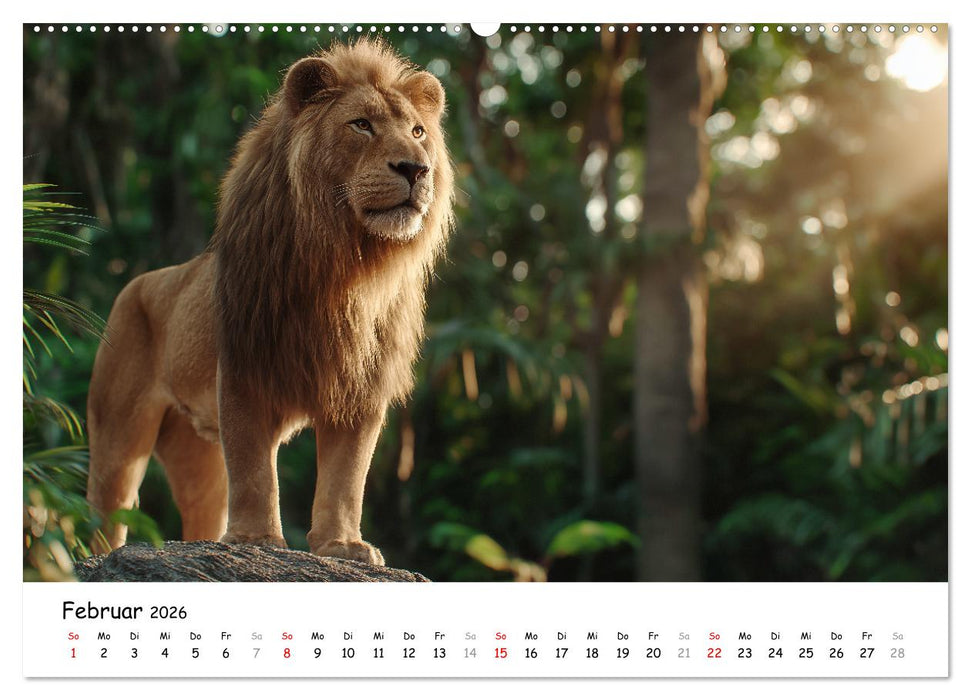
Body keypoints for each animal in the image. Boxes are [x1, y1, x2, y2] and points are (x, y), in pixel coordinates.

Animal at [85, 39, 454, 566]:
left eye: (418, 132)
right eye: (361, 124)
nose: (416, 168)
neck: (345, 264)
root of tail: (138, 283)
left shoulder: (361, 386)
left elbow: (347, 476)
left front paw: (342, 545)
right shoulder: (245, 367)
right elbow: (254, 466)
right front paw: (258, 540)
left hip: (195, 451)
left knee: (201, 508)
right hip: (117, 431)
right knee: (107, 508)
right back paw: (99, 560)